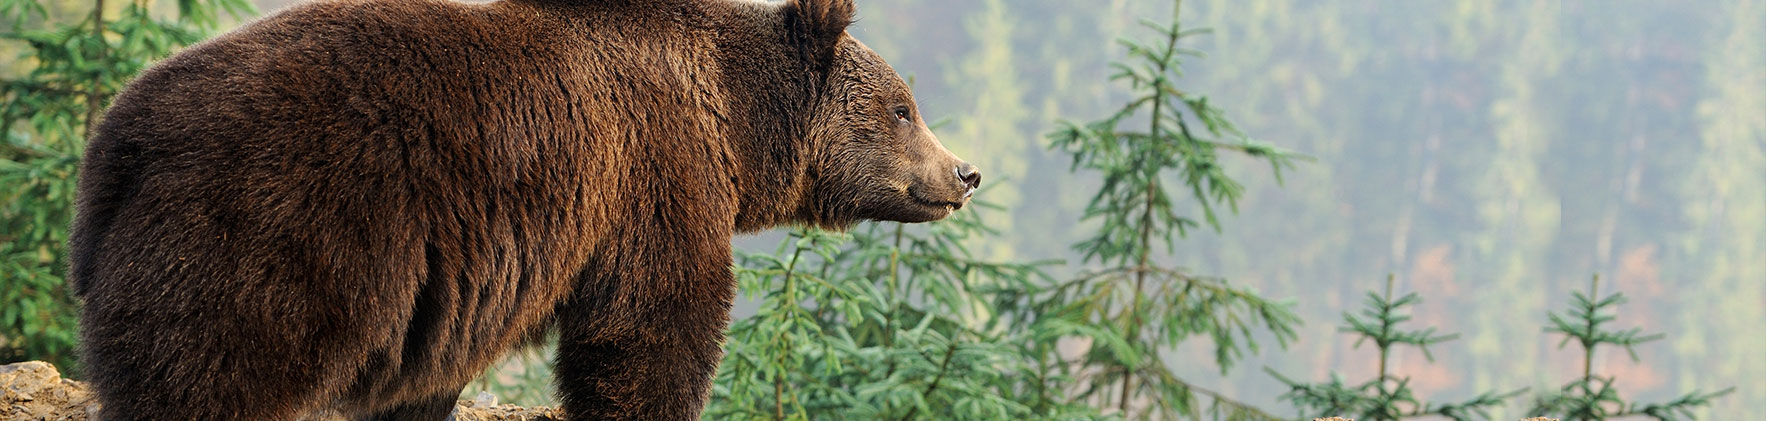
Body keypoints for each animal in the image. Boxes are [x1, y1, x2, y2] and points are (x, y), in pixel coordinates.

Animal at [67, 0, 980, 419]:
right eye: (903, 108)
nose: (965, 172)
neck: (733, 121)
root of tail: (122, 137)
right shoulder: (654, 175)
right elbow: (651, 328)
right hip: (272, 232)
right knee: (212, 373)